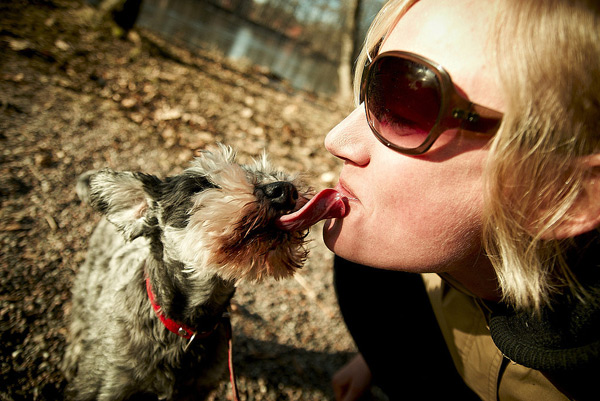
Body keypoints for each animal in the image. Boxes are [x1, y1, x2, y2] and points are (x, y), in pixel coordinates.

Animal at [61, 145, 346, 400]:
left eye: (268, 170)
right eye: (199, 186)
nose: (284, 190)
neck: (187, 326)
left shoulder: (198, 389)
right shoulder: (109, 387)